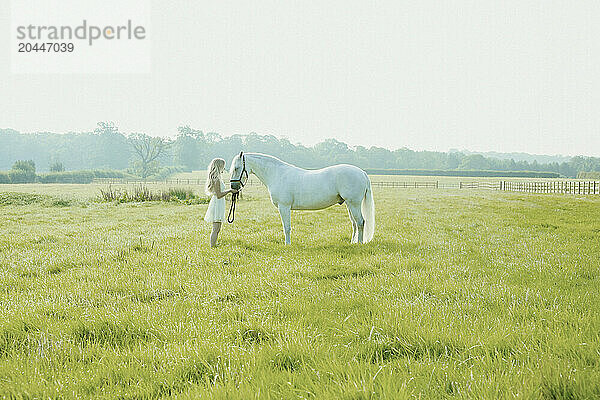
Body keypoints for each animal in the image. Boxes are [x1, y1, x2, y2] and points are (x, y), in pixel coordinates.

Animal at [230, 152, 376, 244]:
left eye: (237, 168)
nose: (233, 186)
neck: (277, 174)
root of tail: (362, 173)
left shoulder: (284, 207)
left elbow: (286, 227)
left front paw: (287, 244)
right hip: (349, 204)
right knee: (354, 223)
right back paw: (352, 242)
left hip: (354, 204)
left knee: (361, 222)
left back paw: (359, 243)